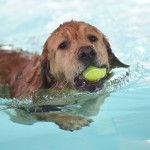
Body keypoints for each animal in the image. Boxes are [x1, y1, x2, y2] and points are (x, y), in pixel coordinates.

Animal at [0, 21, 129, 130]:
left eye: (93, 38)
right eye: (62, 45)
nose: (86, 52)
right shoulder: (25, 107)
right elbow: (48, 112)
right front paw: (71, 119)